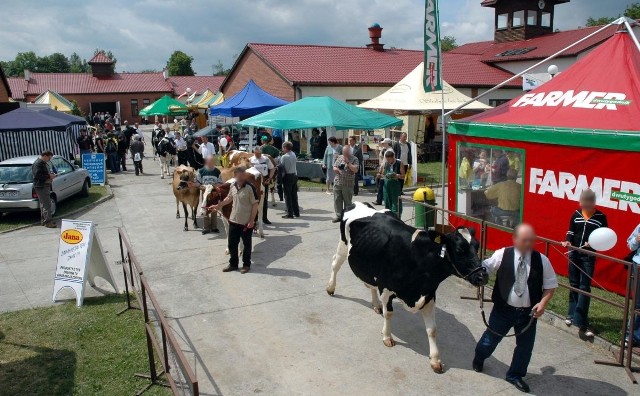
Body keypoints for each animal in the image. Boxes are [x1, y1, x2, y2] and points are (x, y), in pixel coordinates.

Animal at [328, 203, 488, 372]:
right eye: (459, 250)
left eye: (477, 247)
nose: (483, 276)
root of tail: (357, 203)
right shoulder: (386, 287)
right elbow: (389, 314)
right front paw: (387, 337)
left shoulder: (429, 294)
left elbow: (432, 329)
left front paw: (436, 360)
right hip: (343, 246)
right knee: (335, 263)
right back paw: (331, 288)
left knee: (370, 284)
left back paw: (376, 305)